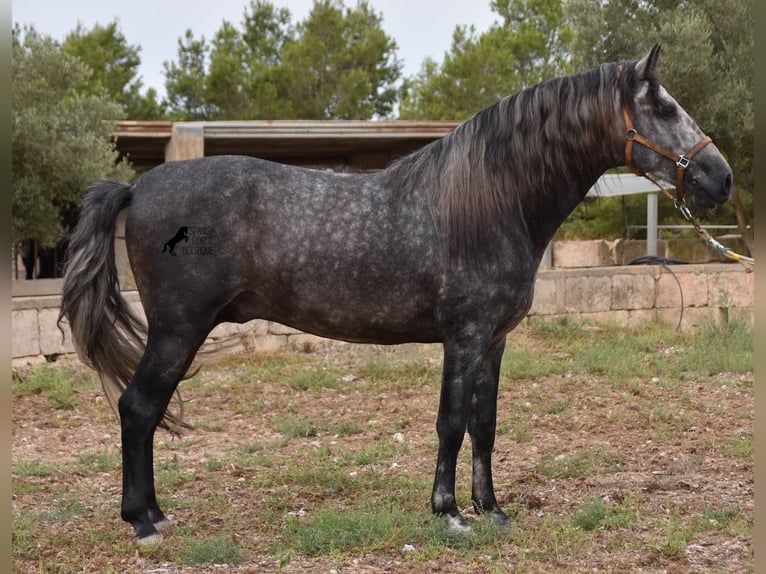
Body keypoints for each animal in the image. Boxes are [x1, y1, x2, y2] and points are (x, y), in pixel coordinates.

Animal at [58, 45, 732, 544]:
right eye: (663, 107)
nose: (720, 179)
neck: (492, 200)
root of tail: (139, 187)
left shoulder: (495, 341)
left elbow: (485, 424)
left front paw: (492, 509)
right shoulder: (464, 336)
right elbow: (451, 422)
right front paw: (449, 512)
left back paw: (152, 514)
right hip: (178, 330)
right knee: (138, 409)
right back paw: (144, 522)